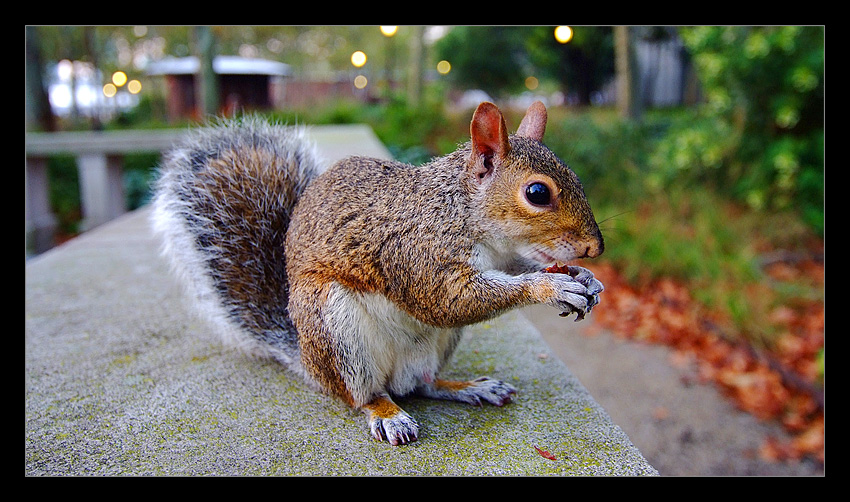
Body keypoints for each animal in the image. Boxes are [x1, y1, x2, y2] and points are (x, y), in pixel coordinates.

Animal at [152, 100, 604, 446]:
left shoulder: (502, 258)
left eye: (578, 179)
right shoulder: (416, 253)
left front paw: (584, 278)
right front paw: (550, 286)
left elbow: (511, 270)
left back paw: (469, 387)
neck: (461, 210)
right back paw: (387, 412)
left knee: (423, 384)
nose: (595, 248)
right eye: (537, 193)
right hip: (334, 327)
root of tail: (306, 359)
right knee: (364, 394)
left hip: (433, 346)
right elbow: (448, 300)